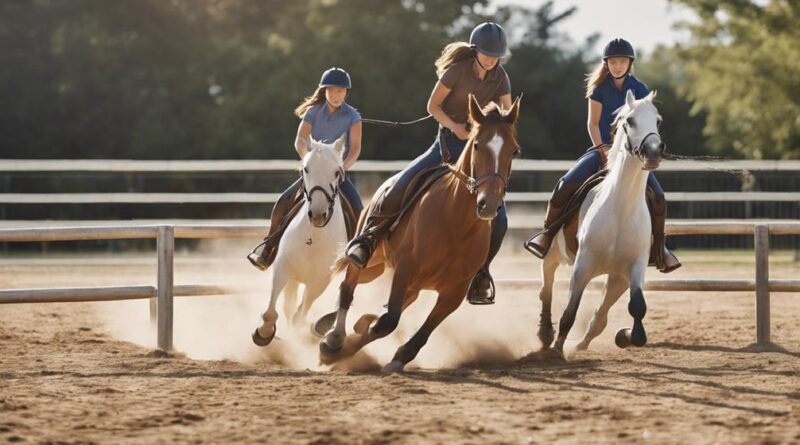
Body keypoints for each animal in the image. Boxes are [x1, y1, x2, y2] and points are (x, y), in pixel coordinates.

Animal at [253, 137, 346, 346]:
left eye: (337, 172)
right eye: (306, 169)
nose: (318, 214)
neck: (312, 236)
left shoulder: (321, 279)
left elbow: (300, 314)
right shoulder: (283, 266)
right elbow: (272, 311)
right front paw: (263, 333)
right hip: (294, 277)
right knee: (288, 306)